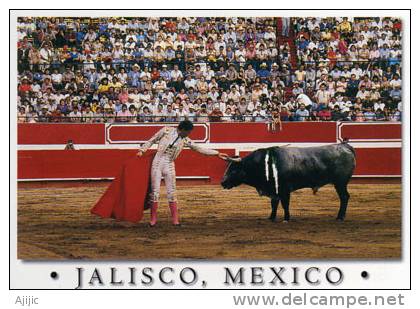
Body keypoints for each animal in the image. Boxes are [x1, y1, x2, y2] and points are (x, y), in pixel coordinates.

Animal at [221, 142, 356, 221]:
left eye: (233, 170)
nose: (222, 182)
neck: (264, 164)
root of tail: (345, 146)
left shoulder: (284, 189)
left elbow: (285, 204)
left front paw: (286, 218)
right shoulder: (273, 189)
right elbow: (274, 203)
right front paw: (271, 217)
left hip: (340, 182)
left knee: (344, 197)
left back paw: (340, 217)